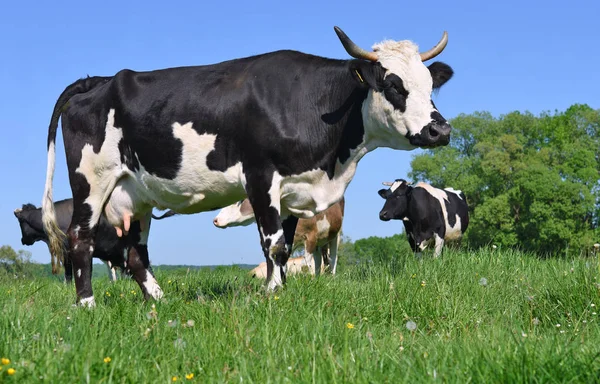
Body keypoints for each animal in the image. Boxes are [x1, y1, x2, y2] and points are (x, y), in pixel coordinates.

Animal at [213, 198, 344, 276]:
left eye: (239, 201)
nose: (215, 220)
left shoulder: (311, 236)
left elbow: (307, 261)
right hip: (320, 242)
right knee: (319, 258)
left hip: (335, 235)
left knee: (332, 257)